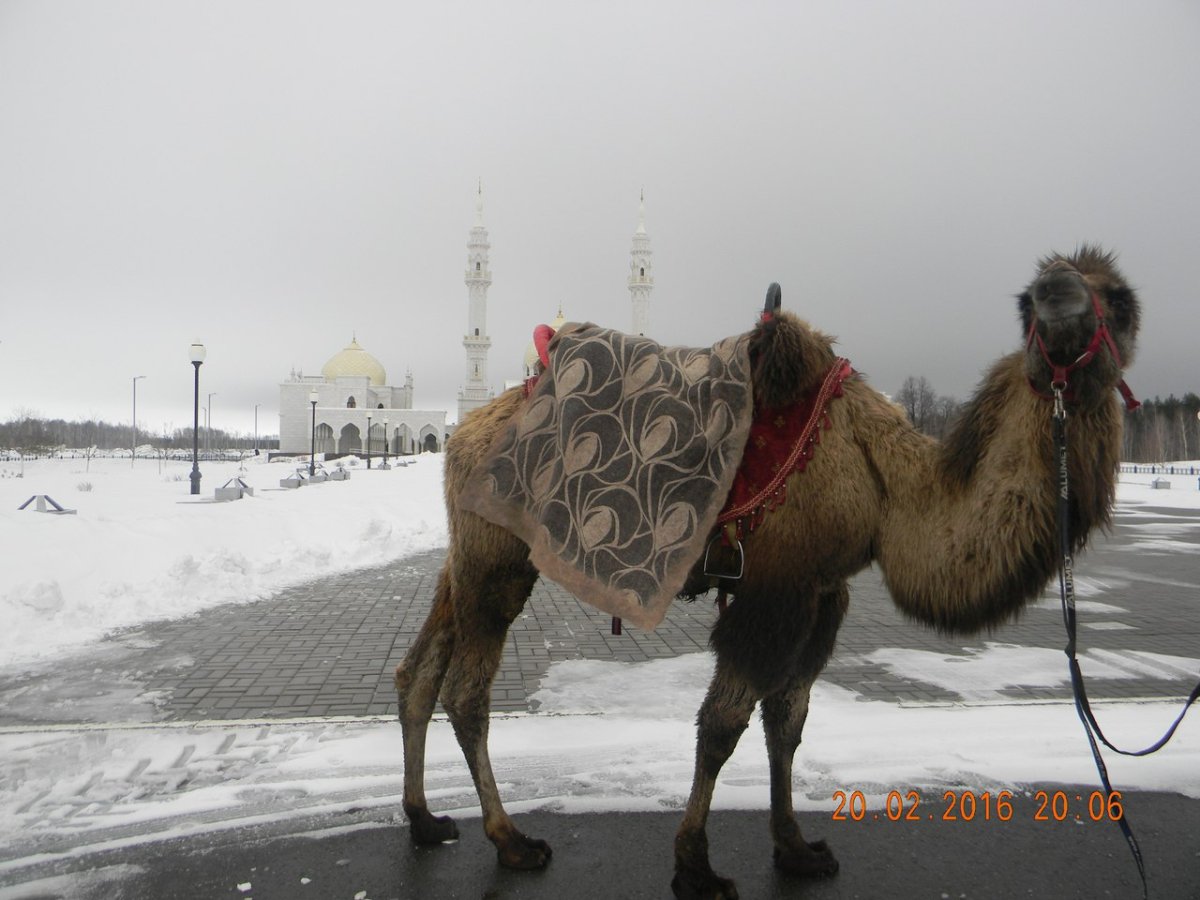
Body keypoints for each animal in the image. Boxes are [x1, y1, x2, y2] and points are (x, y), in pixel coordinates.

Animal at [394, 245, 1140, 899]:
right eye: (1029, 303)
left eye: (1124, 301)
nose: (1056, 292)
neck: (881, 482)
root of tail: (465, 432)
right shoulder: (776, 584)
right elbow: (723, 725)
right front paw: (696, 867)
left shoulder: (824, 589)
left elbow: (788, 718)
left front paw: (796, 847)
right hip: (498, 561)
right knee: (466, 691)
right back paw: (512, 841)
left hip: (468, 556)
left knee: (418, 672)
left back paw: (426, 820)